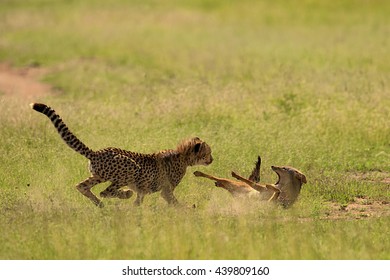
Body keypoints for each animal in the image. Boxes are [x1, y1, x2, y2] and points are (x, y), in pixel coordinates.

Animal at [30, 103, 213, 208]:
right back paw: (123, 194)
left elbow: (139, 201)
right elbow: (173, 202)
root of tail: (96, 152)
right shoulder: (166, 191)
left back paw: (100, 205)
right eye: (208, 152)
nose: (212, 159)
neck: (183, 156)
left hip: (98, 175)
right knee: (106, 191)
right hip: (130, 168)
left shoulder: (144, 190)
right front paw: (187, 211)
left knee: (82, 186)